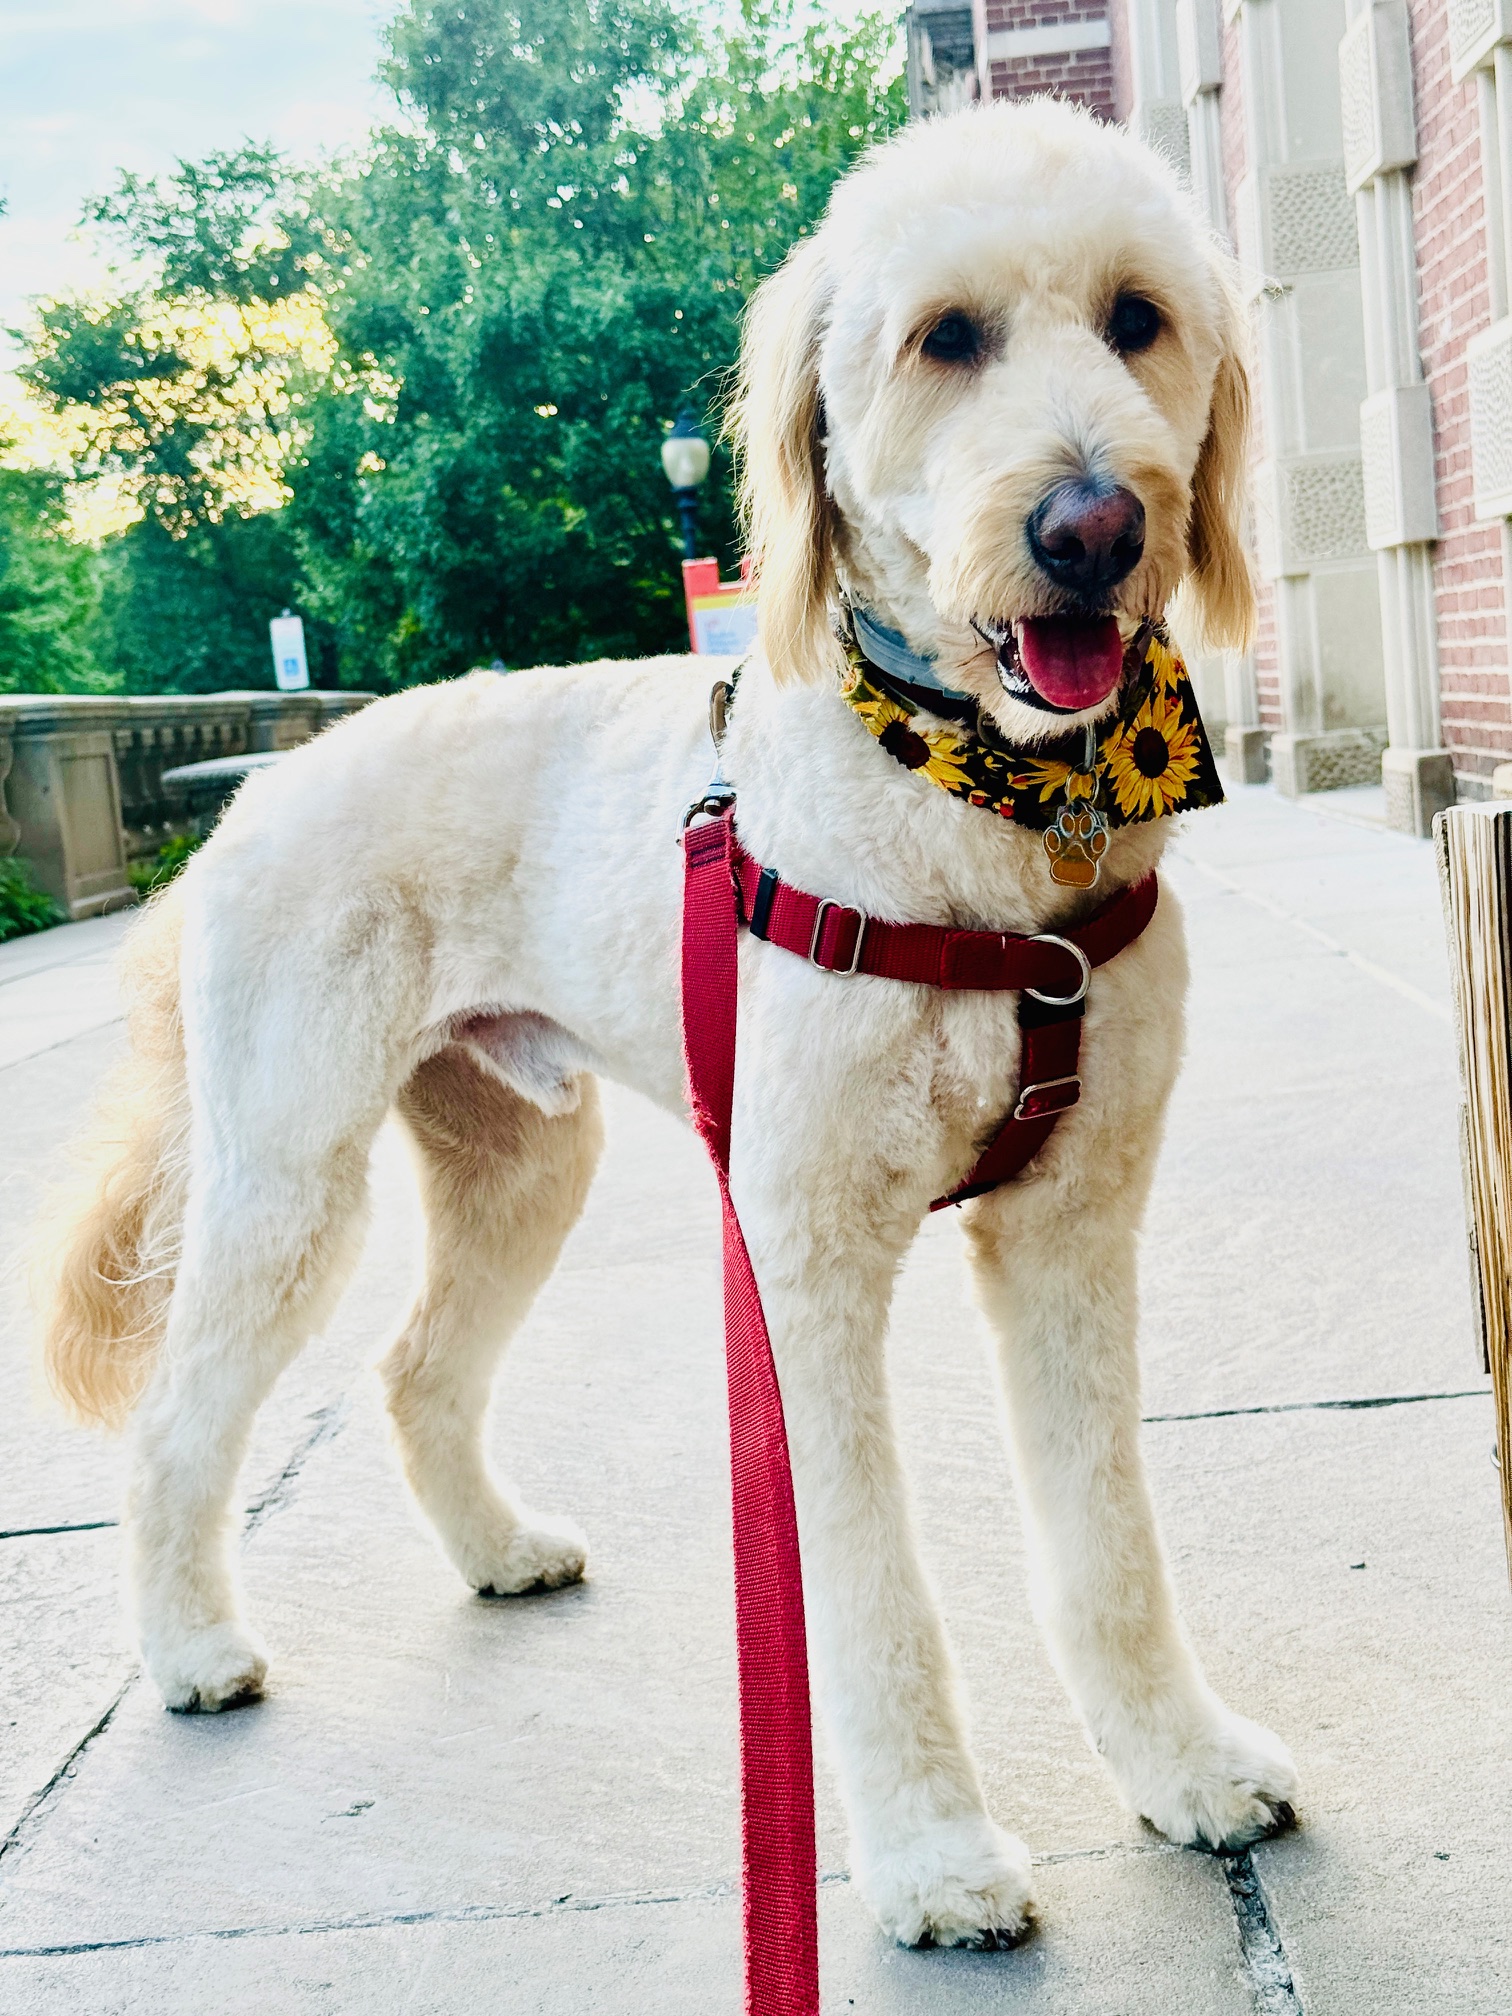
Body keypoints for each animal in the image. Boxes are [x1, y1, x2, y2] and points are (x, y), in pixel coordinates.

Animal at [41, 102, 1306, 1943]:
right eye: (946, 338)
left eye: (1137, 317)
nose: (1091, 527)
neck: (975, 810)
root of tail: (250, 799)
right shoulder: (802, 1257)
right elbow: (863, 1585)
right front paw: (933, 1857)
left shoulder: (1074, 1229)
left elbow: (1109, 1540)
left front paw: (1184, 1767)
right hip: (285, 1175)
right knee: (174, 1426)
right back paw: (191, 1648)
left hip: (519, 1162)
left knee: (416, 1369)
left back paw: (496, 1551)